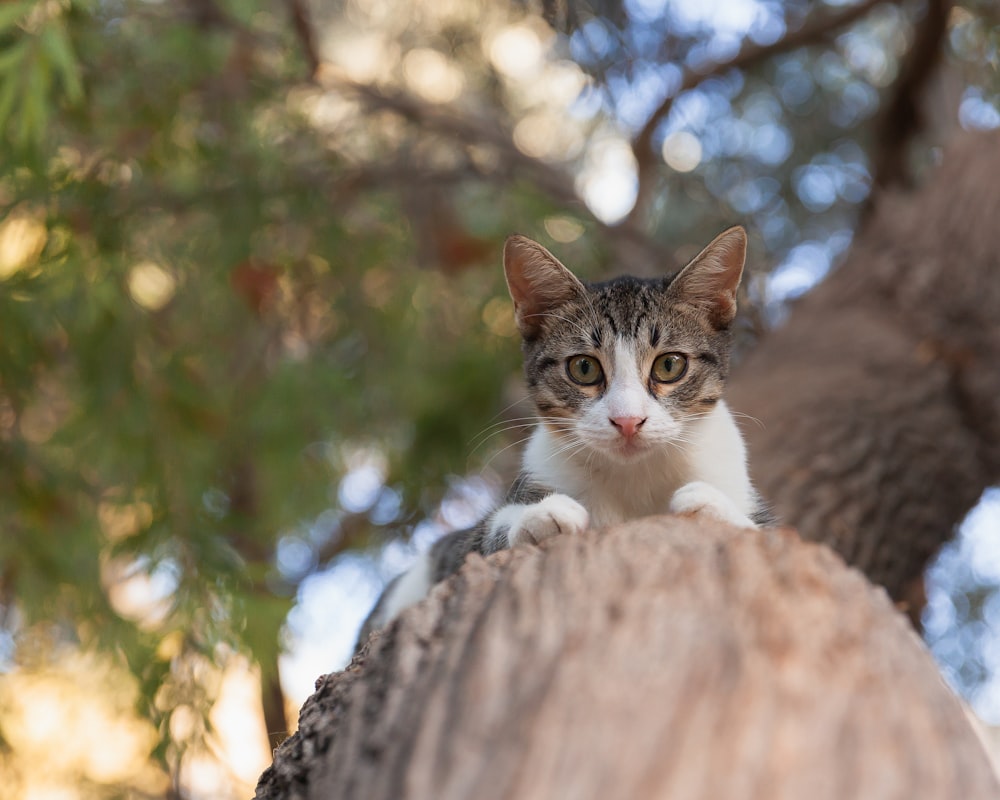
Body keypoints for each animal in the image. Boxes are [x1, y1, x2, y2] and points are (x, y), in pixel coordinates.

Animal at [356, 227, 768, 648]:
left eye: (670, 365)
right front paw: (540, 515)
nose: (627, 420)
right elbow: (478, 539)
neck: (634, 478)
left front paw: (711, 506)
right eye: (584, 368)